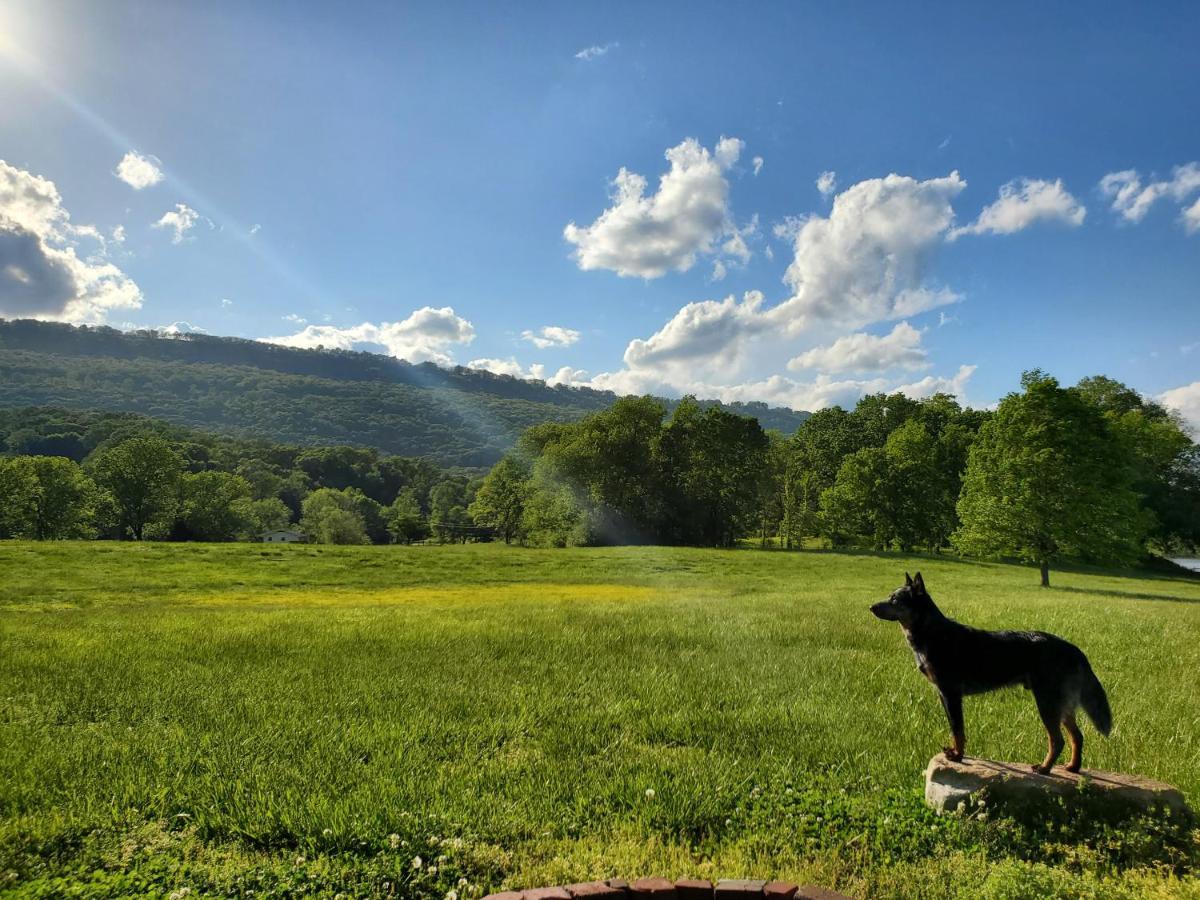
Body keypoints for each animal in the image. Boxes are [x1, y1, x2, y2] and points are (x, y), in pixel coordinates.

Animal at [873, 573, 1113, 772]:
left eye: (895, 600)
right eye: (889, 597)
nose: (871, 607)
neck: (931, 631)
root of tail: (1074, 650)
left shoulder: (951, 694)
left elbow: (958, 729)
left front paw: (958, 756)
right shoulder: (944, 695)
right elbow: (954, 729)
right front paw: (955, 752)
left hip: (1047, 703)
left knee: (1058, 740)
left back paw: (1044, 768)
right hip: (1061, 706)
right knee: (1077, 736)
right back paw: (1073, 767)